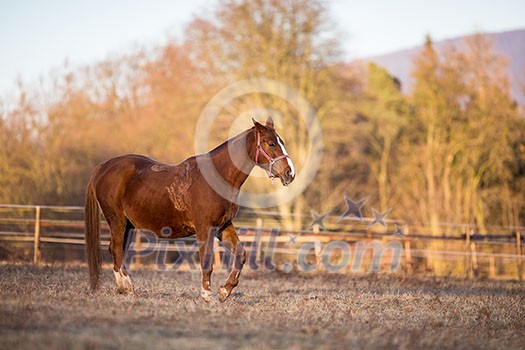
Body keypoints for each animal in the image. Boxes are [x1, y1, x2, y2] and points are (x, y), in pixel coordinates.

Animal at [84, 117, 292, 300]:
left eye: (281, 142)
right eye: (271, 143)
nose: (290, 173)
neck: (216, 178)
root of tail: (103, 167)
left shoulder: (223, 226)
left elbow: (240, 255)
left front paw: (224, 292)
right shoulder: (204, 228)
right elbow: (206, 262)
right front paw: (207, 296)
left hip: (128, 225)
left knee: (116, 251)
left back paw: (125, 289)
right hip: (117, 221)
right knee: (116, 250)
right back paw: (126, 288)